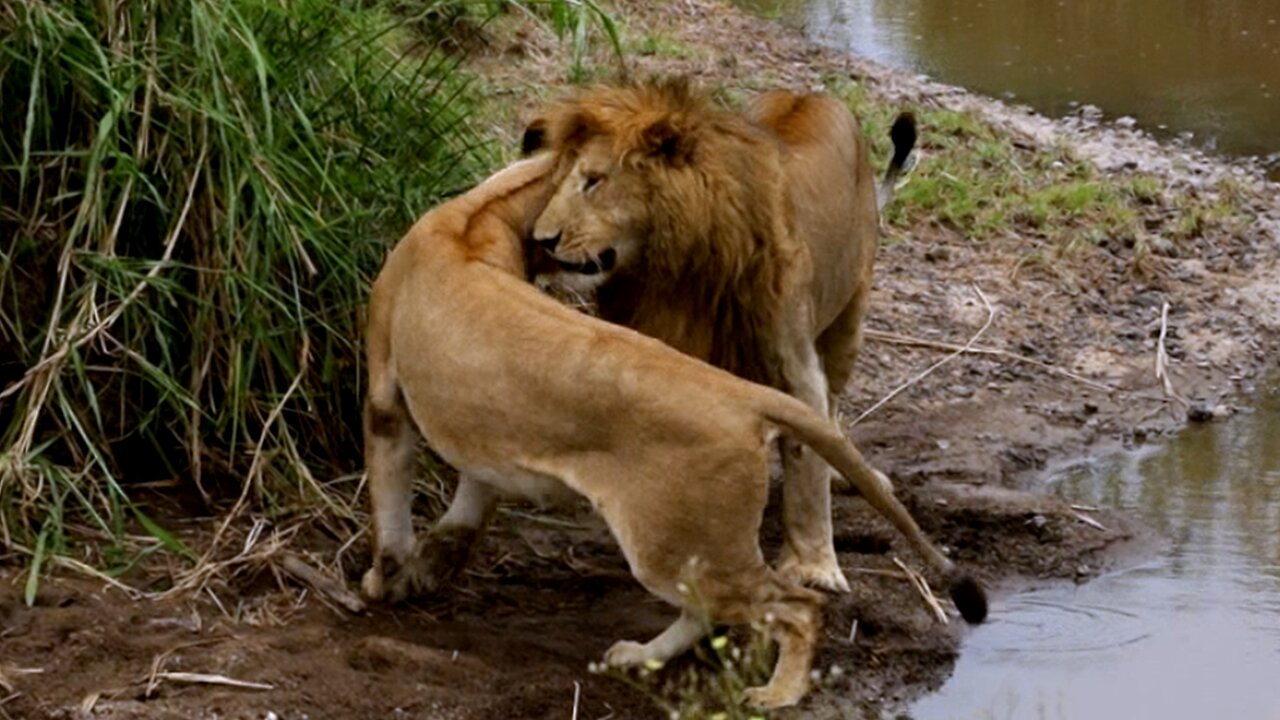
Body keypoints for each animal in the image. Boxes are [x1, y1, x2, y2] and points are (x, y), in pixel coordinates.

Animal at [366, 152, 983, 707]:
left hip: (672, 545)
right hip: (688, 548)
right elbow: (464, 514)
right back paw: (640, 656)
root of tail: (744, 396)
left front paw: (382, 582)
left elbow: (391, 509)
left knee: (797, 608)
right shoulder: (486, 442)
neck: (479, 218)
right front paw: (424, 573)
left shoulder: (384, 399)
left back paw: (775, 694)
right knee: (706, 611)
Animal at [524, 81, 916, 591]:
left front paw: (813, 568)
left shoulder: (794, 366)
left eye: (594, 180)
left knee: (833, 405)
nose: (542, 240)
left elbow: (807, 466)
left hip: (850, 316)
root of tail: (812, 93)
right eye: (557, 180)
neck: (672, 273)